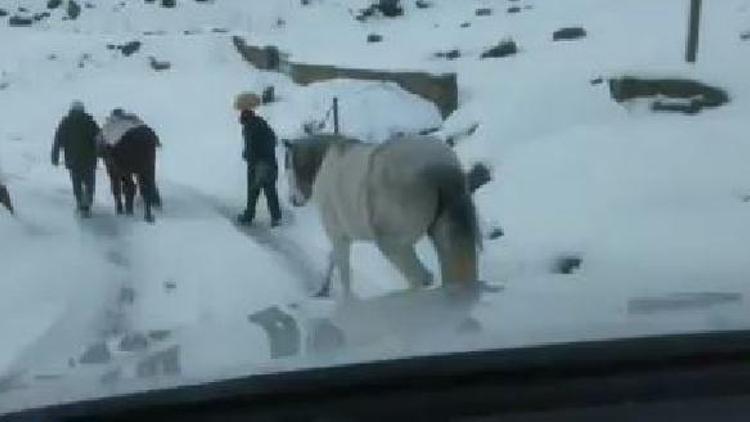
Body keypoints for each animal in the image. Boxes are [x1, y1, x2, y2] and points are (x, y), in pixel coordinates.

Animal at [282, 134, 482, 296]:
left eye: (290, 168)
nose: (293, 200)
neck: (324, 165)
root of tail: (437, 167)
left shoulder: (338, 236)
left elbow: (344, 272)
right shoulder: (343, 237)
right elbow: (333, 259)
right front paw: (323, 289)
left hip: (392, 245)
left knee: (419, 277)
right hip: (444, 235)